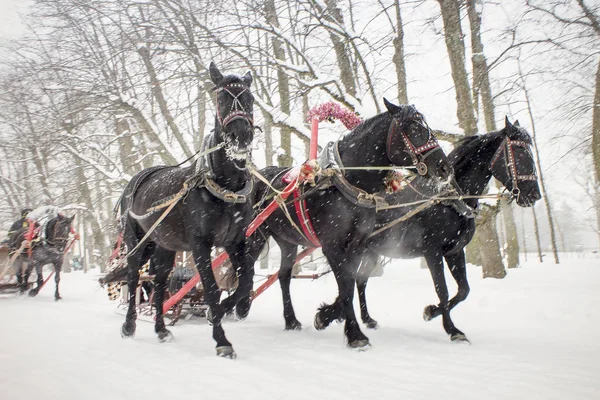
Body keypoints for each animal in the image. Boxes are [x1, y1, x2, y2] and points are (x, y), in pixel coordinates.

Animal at [118, 63, 255, 360]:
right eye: (222, 98)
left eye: (250, 99)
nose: (241, 137)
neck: (224, 186)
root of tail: (136, 180)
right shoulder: (200, 244)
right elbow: (212, 290)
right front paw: (221, 339)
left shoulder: (235, 240)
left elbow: (246, 281)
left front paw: (229, 308)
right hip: (137, 242)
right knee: (134, 278)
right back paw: (129, 325)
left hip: (164, 246)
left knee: (159, 283)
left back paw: (160, 328)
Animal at [247, 98, 450, 348]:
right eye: (413, 128)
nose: (444, 167)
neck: (348, 183)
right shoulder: (332, 246)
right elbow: (346, 288)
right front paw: (354, 334)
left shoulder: (358, 245)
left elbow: (351, 284)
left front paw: (327, 316)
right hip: (256, 235)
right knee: (244, 266)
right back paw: (236, 306)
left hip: (287, 241)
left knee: (284, 276)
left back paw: (290, 320)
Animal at [354, 117, 540, 342]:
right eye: (520, 153)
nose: (534, 194)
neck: (448, 200)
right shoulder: (432, 252)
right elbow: (442, 290)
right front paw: (450, 328)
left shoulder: (454, 251)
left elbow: (463, 290)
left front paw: (433, 312)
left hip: (372, 253)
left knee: (361, 280)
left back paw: (366, 319)